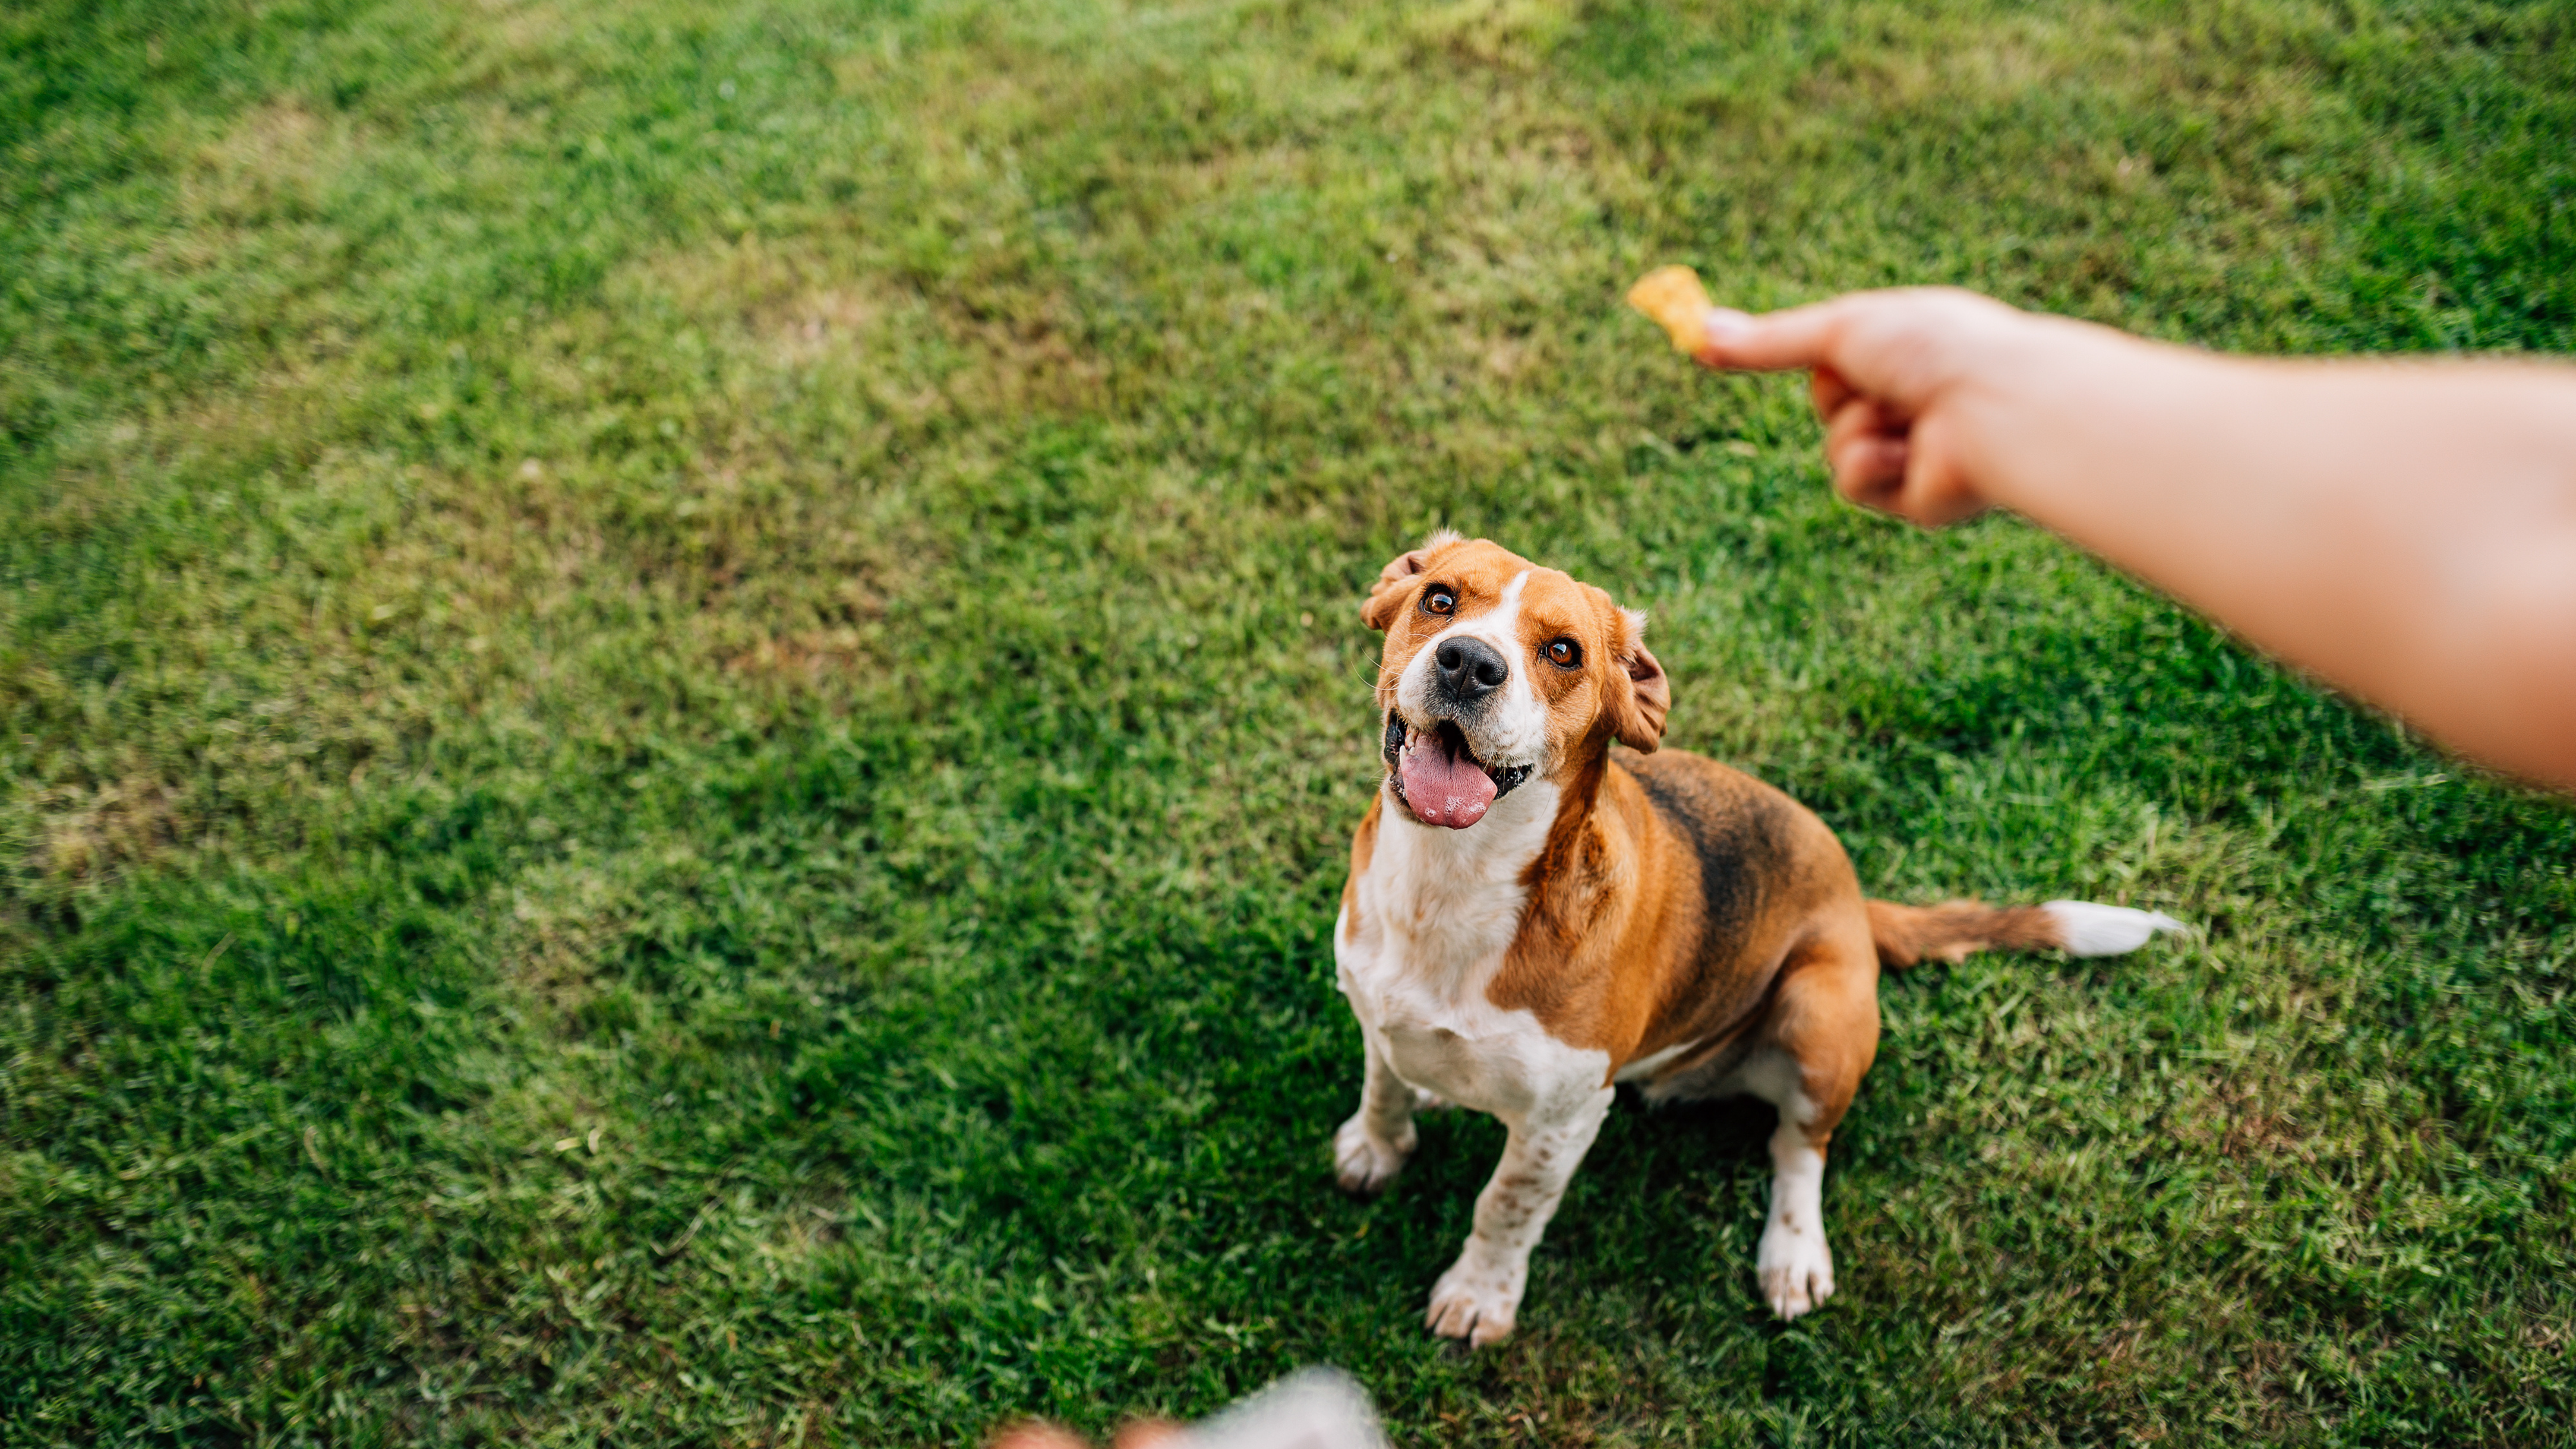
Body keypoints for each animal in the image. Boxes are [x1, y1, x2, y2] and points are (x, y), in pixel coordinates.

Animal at [1339, 534, 2184, 1340]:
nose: (1469, 663)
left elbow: (1506, 1207)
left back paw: (1793, 1254)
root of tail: (1857, 901)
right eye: (1439, 600)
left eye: (1564, 651)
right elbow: (1382, 1087)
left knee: (1799, 1148)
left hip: (1818, 1015)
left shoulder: (1563, 1120)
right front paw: (1378, 1149)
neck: (1450, 885)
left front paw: (1479, 1297)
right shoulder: (1376, 1014)